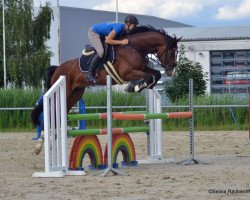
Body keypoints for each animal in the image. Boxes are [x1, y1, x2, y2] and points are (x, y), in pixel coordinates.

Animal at [31, 25, 181, 135]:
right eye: (171, 52)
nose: (171, 71)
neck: (134, 47)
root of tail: (57, 69)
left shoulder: (142, 68)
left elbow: (156, 74)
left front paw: (142, 86)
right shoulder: (127, 73)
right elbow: (148, 76)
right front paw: (137, 86)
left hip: (76, 94)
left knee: (61, 111)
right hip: (65, 91)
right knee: (51, 110)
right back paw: (43, 137)